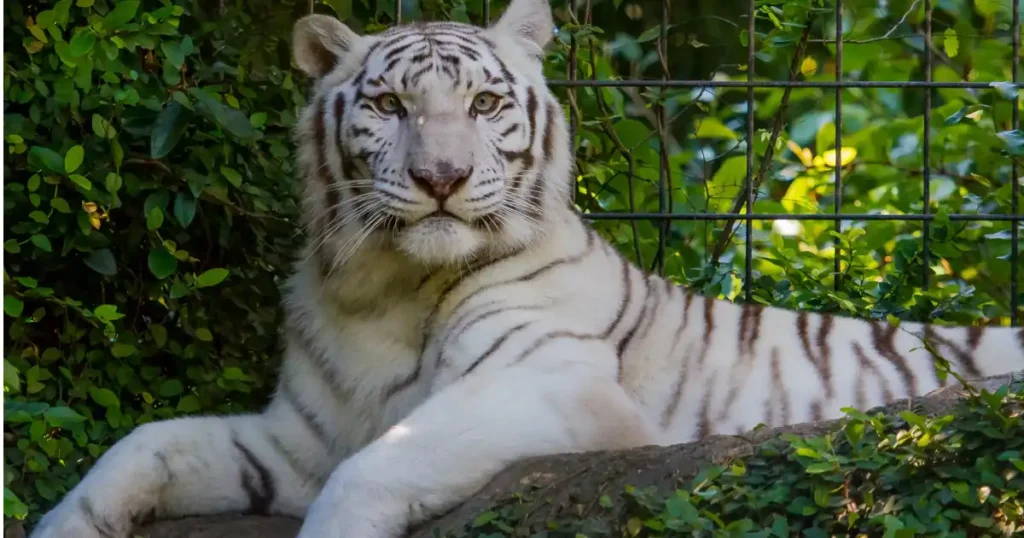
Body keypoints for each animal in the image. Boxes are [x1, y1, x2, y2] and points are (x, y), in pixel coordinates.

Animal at [29, 0, 1024, 536]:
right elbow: (147, 440)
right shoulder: (301, 438)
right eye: (388, 105)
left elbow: (380, 466)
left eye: (483, 103)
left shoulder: (555, 385)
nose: (440, 178)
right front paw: (70, 520)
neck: (380, 290)